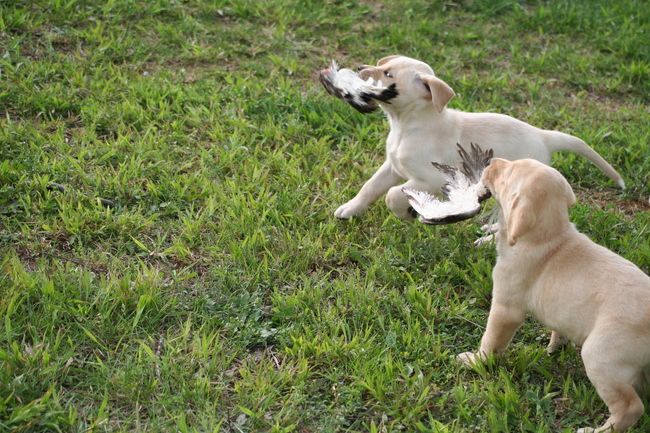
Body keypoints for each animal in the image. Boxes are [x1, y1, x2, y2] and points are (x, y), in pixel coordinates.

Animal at [334, 55, 625, 220]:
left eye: (388, 75)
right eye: (381, 64)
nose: (359, 67)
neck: (406, 125)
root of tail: (544, 136)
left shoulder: (431, 179)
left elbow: (394, 193)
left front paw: (405, 212)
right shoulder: (392, 167)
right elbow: (370, 187)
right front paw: (350, 209)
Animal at [457, 158, 650, 433]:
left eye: (506, 174)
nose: (491, 161)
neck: (551, 235)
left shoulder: (505, 308)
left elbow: (491, 341)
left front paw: (475, 361)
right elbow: (559, 328)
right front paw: (555, 345)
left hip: (599, 356)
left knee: (630, 407)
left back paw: (596, 430)